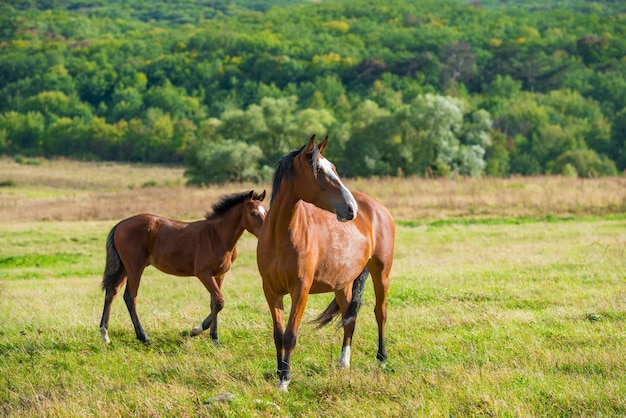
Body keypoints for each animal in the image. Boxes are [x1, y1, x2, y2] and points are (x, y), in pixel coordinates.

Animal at [98, 190, 264, 346]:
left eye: (266, 211)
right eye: (253, 213)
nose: (264, 232)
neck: (217, 236)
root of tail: (119, 225)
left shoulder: (219, 275)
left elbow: (214, 302)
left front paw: (215, 339)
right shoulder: (203, 273)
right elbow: (219, 301)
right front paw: (195, 330)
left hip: (124, 267)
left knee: (112, 291)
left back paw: (105, 334)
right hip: (135, 266)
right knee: (130, 296)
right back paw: (143, 337)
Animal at [256, 135, 392, 392]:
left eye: (334, 168)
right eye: (318, 170)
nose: (351, 208)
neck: (281, 235)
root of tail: (377, 207)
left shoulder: (300, 290)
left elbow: (290, 335)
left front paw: (284, 380)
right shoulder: (271, 291)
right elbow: (278, 335)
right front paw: (278, 374)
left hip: (381, 273)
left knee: (380, 313)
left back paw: (381, 360)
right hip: (343, 284)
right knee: (349, 319)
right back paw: (343, 363)